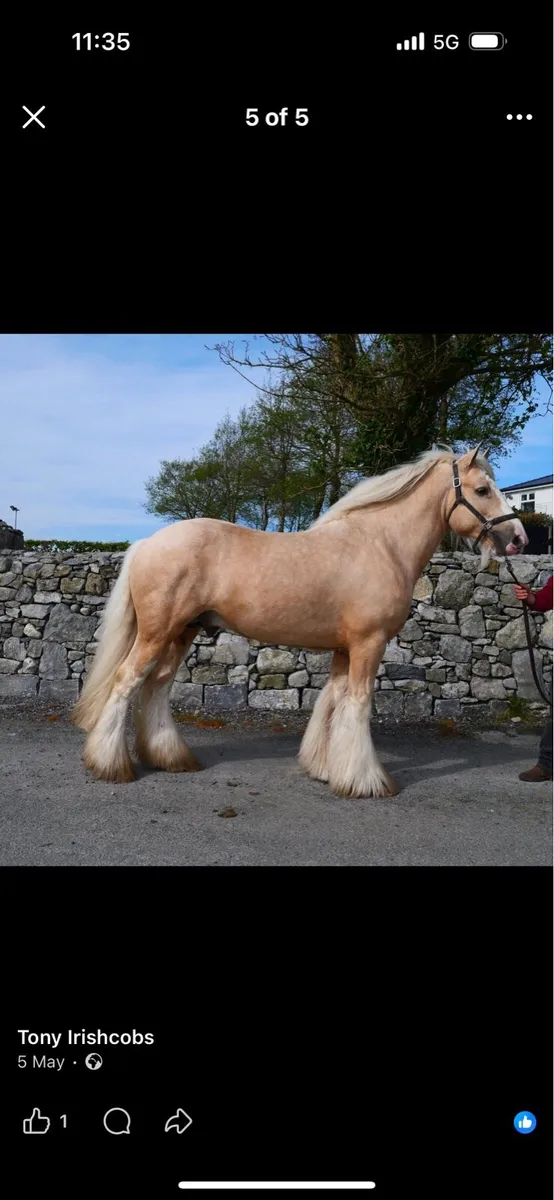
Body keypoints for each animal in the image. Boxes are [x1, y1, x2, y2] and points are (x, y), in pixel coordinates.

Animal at [71, 446, 527, 797]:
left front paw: (326, 769)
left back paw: (170, 758)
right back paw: (110, 765)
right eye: (482, 490)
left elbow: (333, 702)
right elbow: (357, 706)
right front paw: (365, 781)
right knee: (127, 681)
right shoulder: (369, 643)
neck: (380, 544)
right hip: (156, 633)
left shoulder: (345, 648)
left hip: (182, 632)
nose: (520, 539)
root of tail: (148, 542)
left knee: (157, 686)